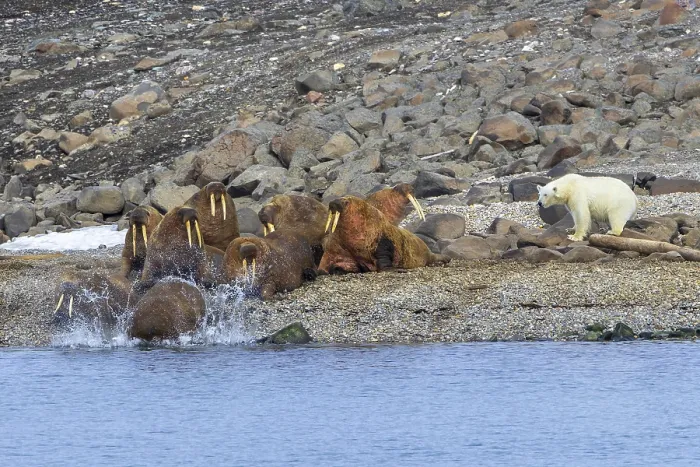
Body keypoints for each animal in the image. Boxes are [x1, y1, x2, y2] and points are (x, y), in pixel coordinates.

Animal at [318, 196, 451, 274]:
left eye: (345, 202)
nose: (332, 203)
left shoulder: (382, 241)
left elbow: (384, 257)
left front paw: (393, 269)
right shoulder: (341, 249)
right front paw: (331, 270)